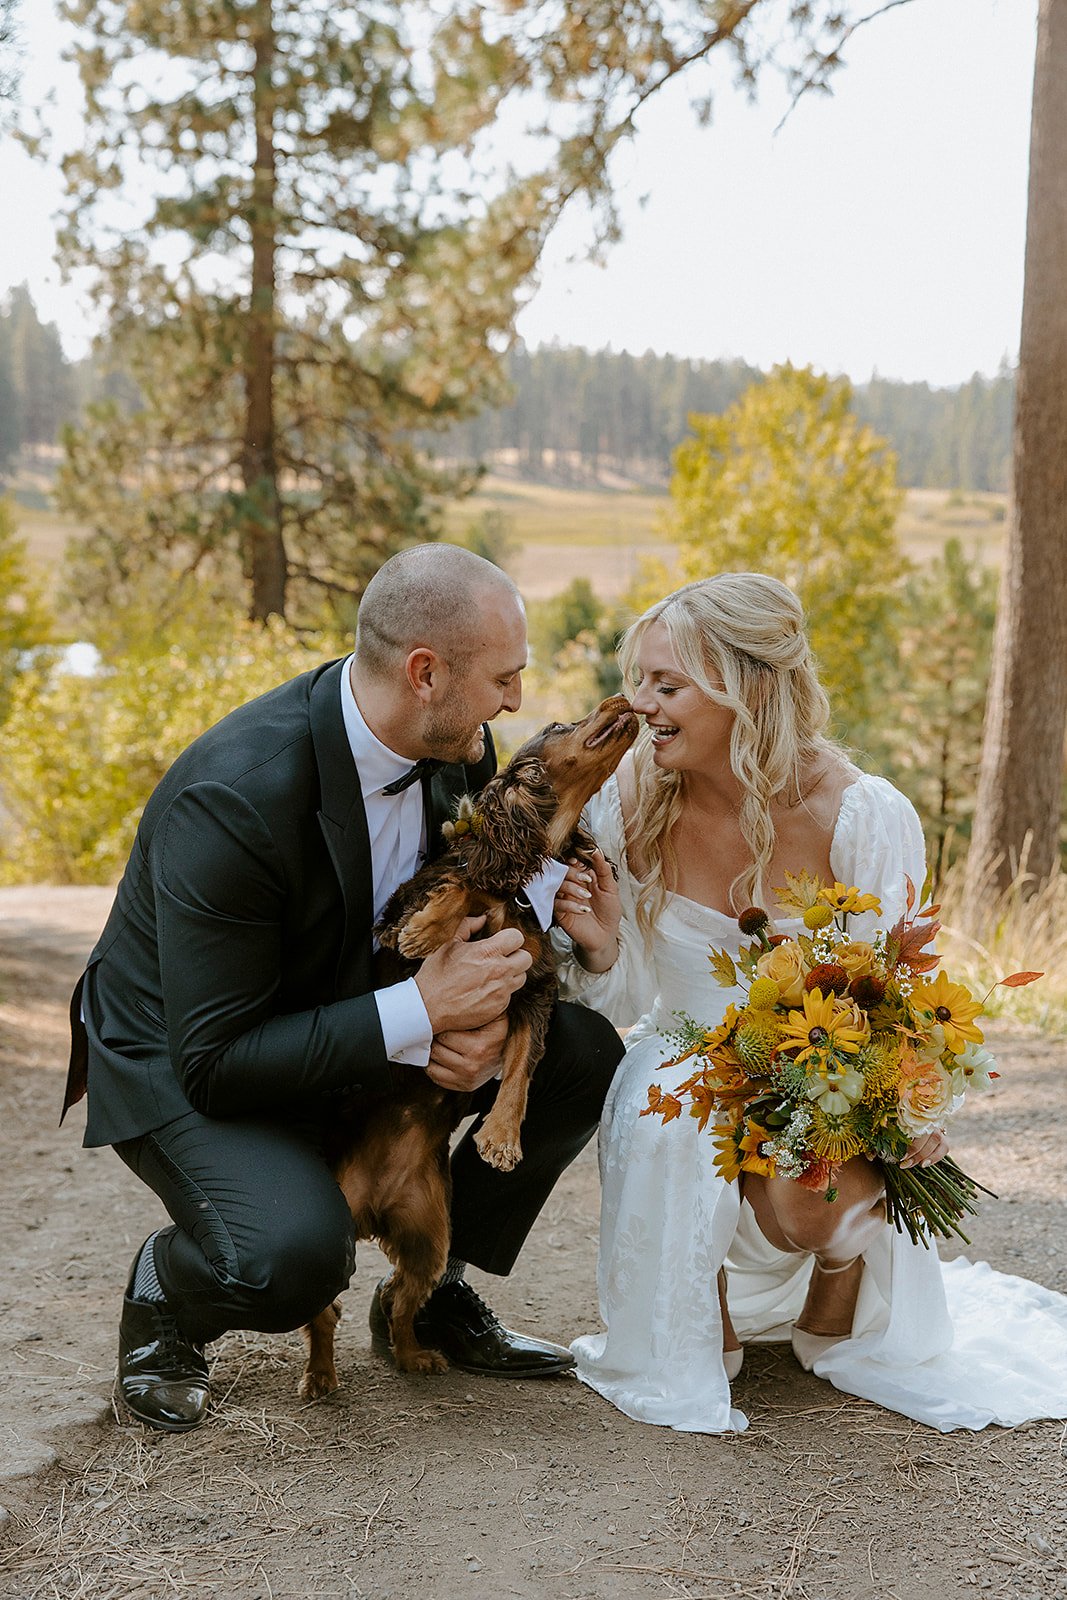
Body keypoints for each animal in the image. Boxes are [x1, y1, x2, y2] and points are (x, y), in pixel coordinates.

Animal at [295, 694, 639, 1395]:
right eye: (559, 726)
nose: (622, 698)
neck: (527, 877)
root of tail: (372, 1209)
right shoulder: (410, 928)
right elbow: (462, 887)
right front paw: (429, 929)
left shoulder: (533, 987)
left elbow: (522, 1065)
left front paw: (502, 1137)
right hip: (338, 1236)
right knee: (326, 1309)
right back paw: (320, 1376)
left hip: (430, 1230)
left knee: (403, 1298)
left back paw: (415, 1357)